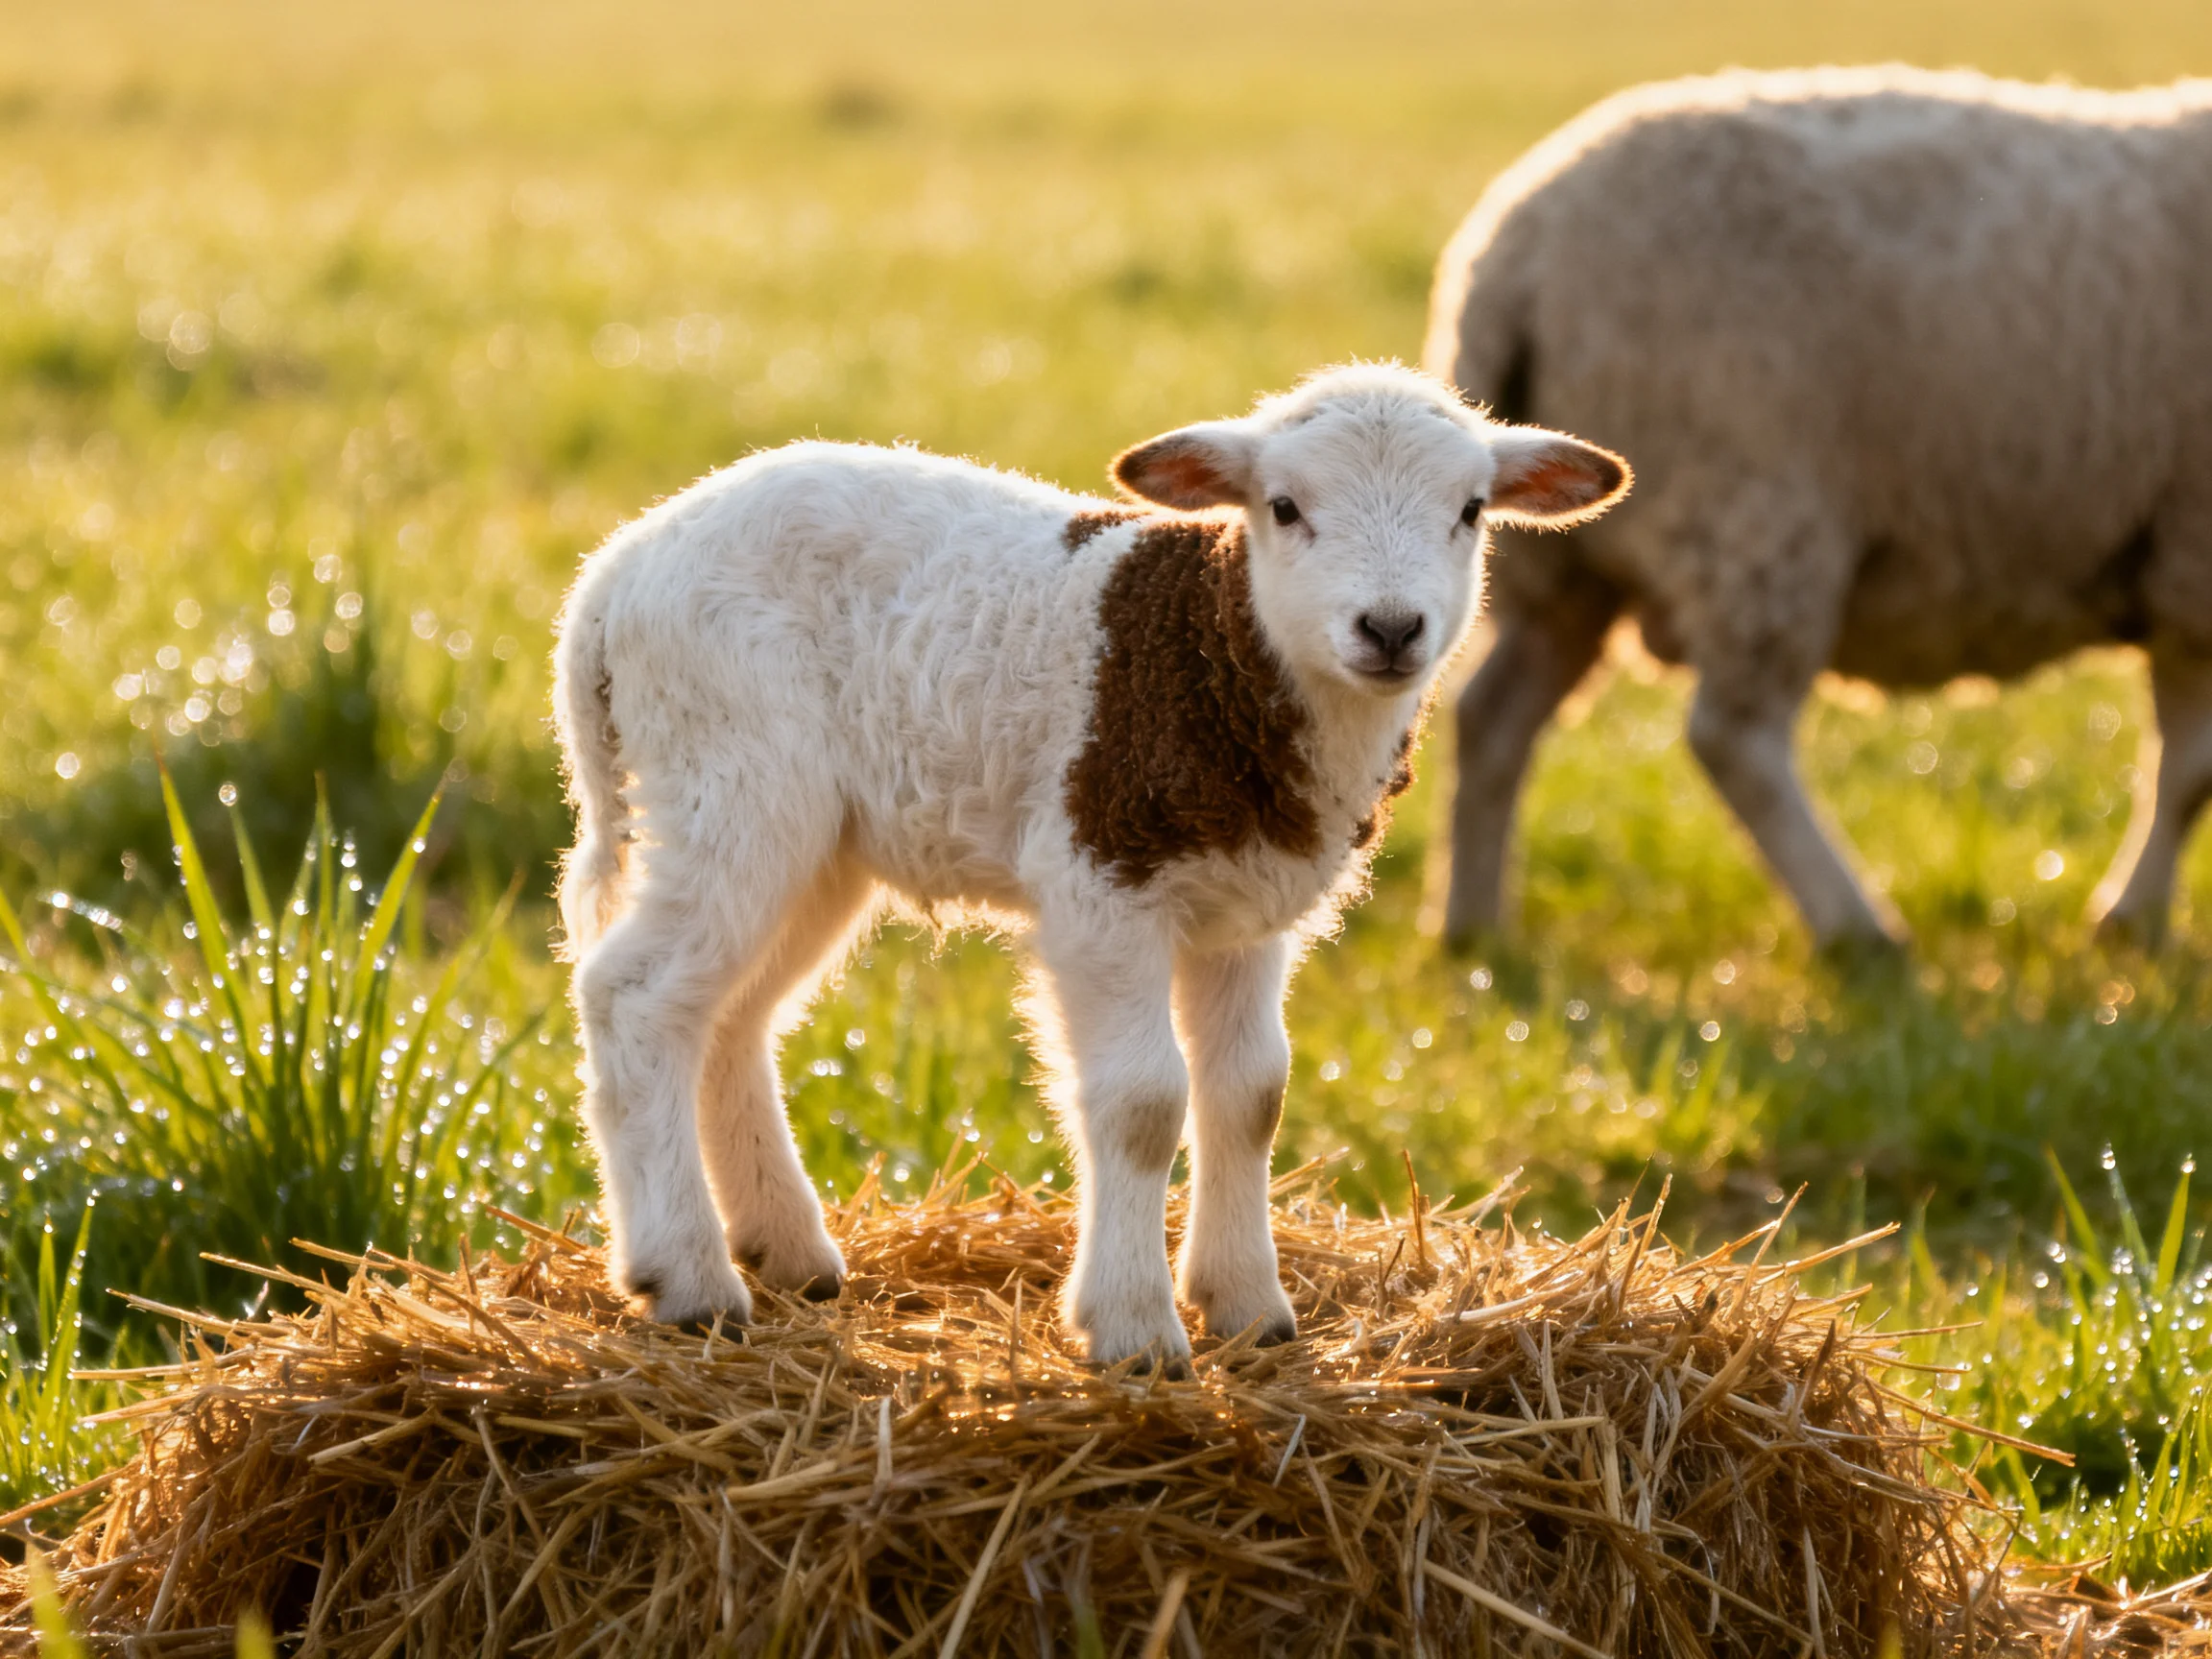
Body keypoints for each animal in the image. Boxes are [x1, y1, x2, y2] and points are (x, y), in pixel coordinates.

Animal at [551, 364, 1627, 1365]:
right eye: (1283, 506)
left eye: (1471, 510)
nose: (1392, 630)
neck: (1222, 651)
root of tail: (614, 573)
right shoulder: (1101, 879)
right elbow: (1146, 1102)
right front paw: (1136, 1329)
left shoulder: (1247, 909)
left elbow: (1252, 1096)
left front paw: (1249, 1308)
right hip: (729, 777)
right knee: (636, 996)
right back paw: (686, 1278)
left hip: (818, 841)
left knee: (729, 1016)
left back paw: (786, 1250)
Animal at [1425, 66, 2212, 952]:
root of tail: (1515, 256)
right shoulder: (2195, 559)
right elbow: (2190, 772)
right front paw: (2132, 922)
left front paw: (2134, 923)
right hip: (1749, 513)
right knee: (1733, 738)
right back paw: (1857, 928)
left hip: (1572, 568)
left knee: (1493, 716)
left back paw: (1474, 931)